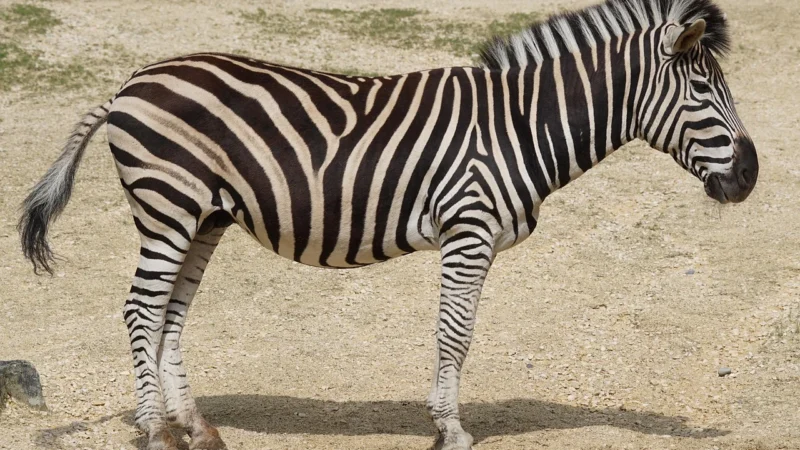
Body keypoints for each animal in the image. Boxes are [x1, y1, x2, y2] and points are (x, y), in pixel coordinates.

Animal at [18, 0, 757, 448]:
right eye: (702, 89)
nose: (750, 176)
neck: (521, 125)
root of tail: (130, 83)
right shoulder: (468, 230)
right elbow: (455, 335)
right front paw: (451, 430)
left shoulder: (474, 237)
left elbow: (459, 335)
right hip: (167, 205)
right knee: (141, 309)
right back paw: (152, 431)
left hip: (205, 215)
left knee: (169, 313)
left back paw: (195, 429)